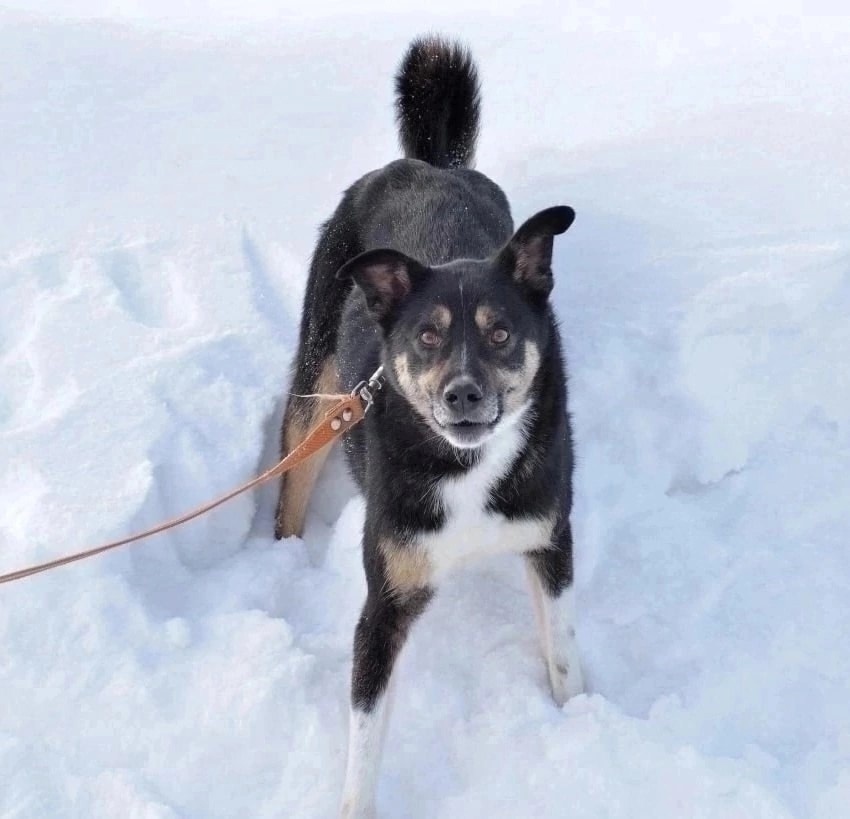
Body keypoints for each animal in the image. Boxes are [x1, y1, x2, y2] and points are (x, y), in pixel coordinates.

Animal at [274, 35, 580, 816]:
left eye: (501, 332)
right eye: (427, 336)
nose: (463, 396)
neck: (465, 470)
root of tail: (427, 164)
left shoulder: (550, 540)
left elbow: (564, 659)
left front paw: (587, 723)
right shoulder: (384, 600)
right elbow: (364, 742)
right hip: (315, 376)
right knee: (290, 483)